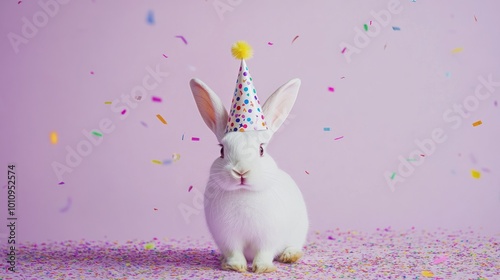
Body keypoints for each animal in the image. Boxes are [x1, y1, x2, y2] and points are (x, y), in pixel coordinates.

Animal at [190, 77, 308, 272]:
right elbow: (234, 252)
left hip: (298, 231)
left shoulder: (268, 237)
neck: (244, 192)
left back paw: (290, 256)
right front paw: (235, 266)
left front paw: (262, 268)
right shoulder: (228, 237)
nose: (241, 171)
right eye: (222, 150)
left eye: (261, 150)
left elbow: (264, 252)